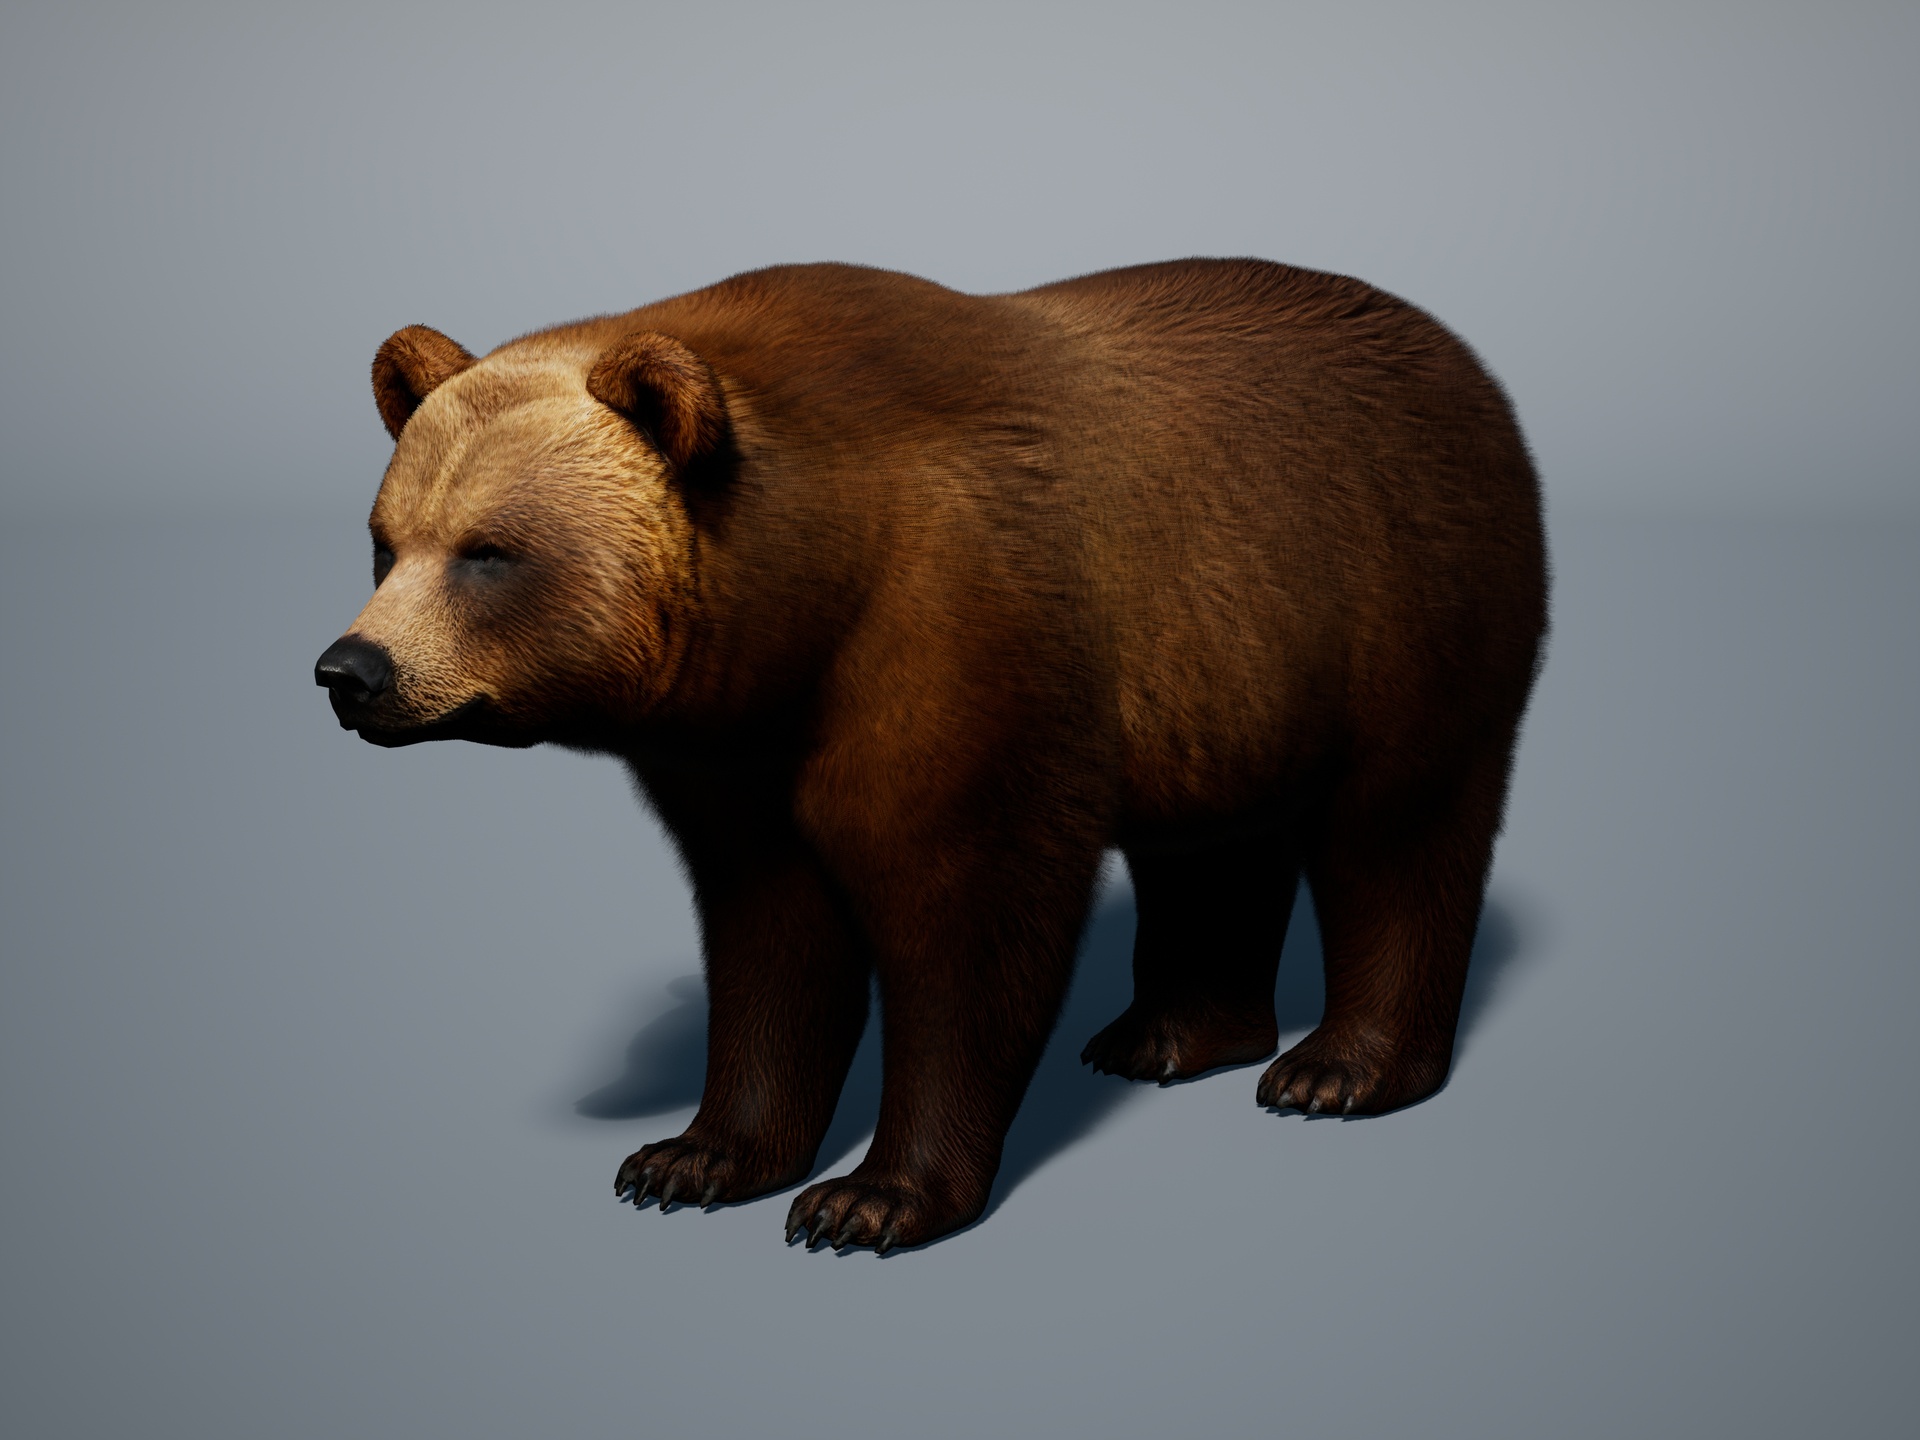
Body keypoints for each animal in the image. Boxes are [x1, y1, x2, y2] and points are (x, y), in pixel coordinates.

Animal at [315, 259, 1547, 1254]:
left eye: (488, 552)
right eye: (385, 541)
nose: (350, 671)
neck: (814, 576)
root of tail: (1467, 366)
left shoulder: (957, 630)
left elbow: (968, 920)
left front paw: (869, 1200)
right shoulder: (742, 748)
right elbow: (771, 931)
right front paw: (692, 1158)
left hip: (1398, 597)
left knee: (1400, 825)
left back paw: (1337, 1067)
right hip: (1228, 662)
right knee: (1214, 846)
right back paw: (1172, 1035)